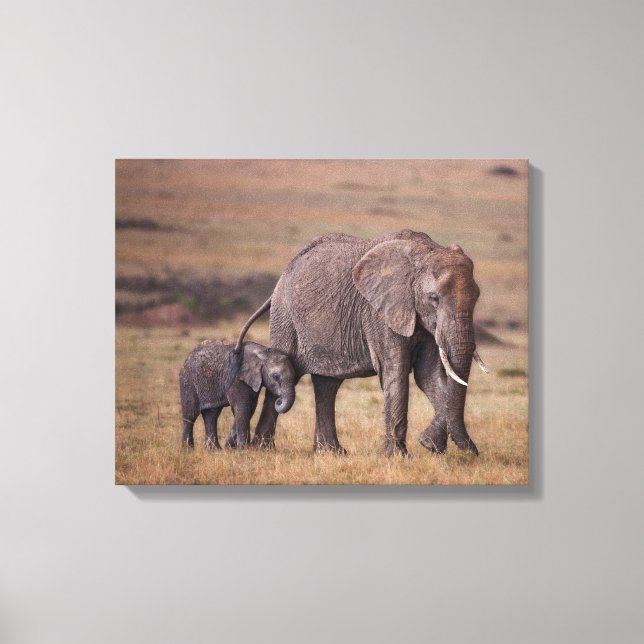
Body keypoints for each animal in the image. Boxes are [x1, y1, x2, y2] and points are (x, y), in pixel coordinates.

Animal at [235, 229, 489, 457]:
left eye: (477, 297)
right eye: (433, 299)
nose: (475, 453)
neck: (425, 251)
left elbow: (428, 376)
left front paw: (433, 446)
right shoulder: (379, 313)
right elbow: (395, 372)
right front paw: (399, 457)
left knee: (327, 385)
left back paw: (332, 453)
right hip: (285, 318)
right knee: (284, 371)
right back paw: (263, 449)